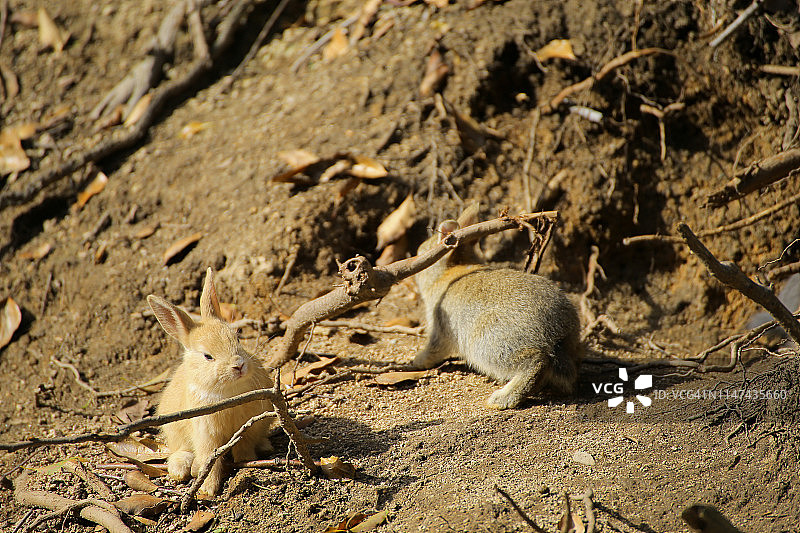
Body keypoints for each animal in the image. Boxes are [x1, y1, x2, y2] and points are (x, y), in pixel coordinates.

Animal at [147, 268, 276, 496]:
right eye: (208, 356)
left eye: (237, 338)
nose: (239, 365)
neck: (229, 392)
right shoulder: (206, 433)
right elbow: (210, 459)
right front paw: (207, 489)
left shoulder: (249, 426)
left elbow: (244, 446)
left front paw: (246, 460)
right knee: (180, 450)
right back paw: (180, 469)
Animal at [412, 206, 580, 410]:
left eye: (422, 252)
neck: (447, 273)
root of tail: (558, 332)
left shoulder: (439, 329)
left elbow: (433, 350)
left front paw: (416, 361)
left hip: (488, 341)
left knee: (536, 361)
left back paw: (501, 399)